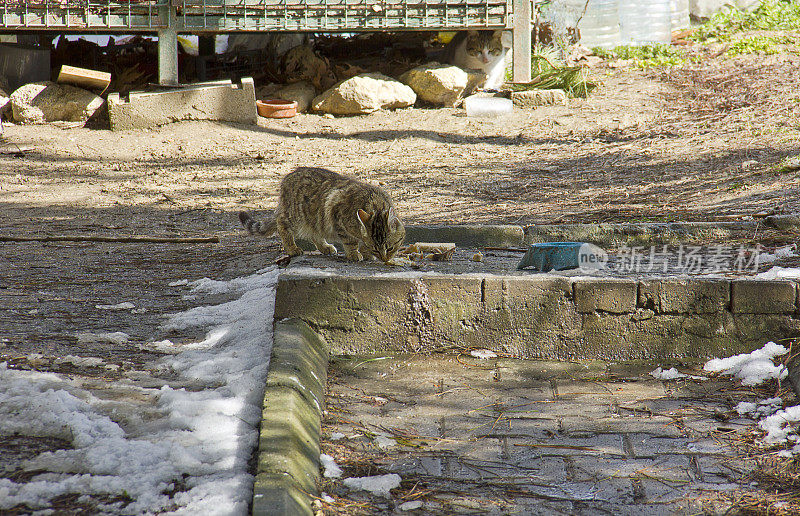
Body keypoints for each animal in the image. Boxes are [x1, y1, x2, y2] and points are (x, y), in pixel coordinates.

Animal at [234, 167, 404, 262]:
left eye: (390, 248)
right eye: (377, 249)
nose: (384, 259)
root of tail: (288, 177)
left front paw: (365, 252)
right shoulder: (338, 217)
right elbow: (350, 242)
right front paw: (356, 254)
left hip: (314, 220)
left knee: (314, 234)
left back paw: (325, 247)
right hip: (295, 216)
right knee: (282, 225)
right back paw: (292, 248)